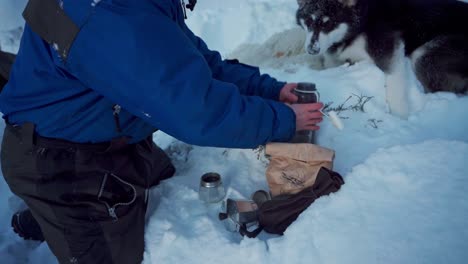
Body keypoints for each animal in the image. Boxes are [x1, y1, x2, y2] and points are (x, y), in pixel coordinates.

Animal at [296, 0, 468, 117]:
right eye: (309, 21)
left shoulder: (388, 46)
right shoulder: (334, 57)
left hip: (424, 56)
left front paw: (400, 116)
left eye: (328, 24)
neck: (361, 22)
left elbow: (394, 83)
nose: (312, 49)